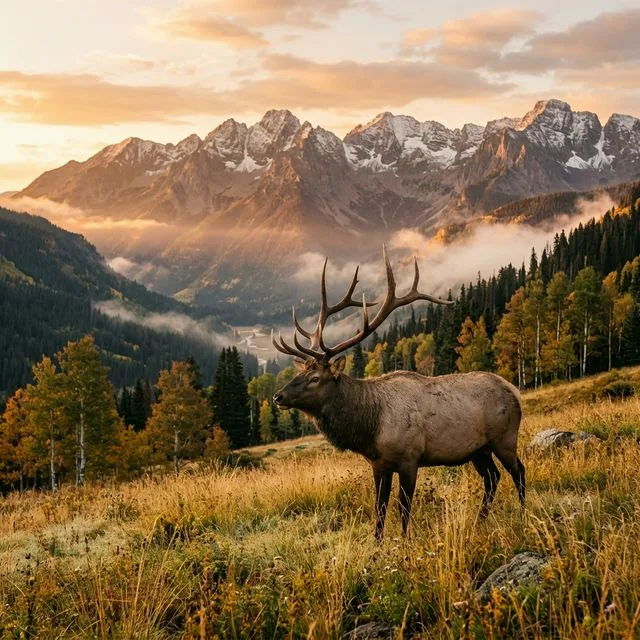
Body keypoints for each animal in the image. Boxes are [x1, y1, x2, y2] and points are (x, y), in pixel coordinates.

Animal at [272, 248, 525, 540]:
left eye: (314, 378)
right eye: (300, 373)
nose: (278, 396)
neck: (370, 427)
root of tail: (514, 390)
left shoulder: (409, 458)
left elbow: (403, 506)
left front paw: (404, 541)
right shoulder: (379, 464)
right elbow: (379, 507)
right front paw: (377, 543)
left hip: (504, 437)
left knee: (518, 471)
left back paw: (522, 512)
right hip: (478, 450)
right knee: (492, 478)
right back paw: (479, 521)